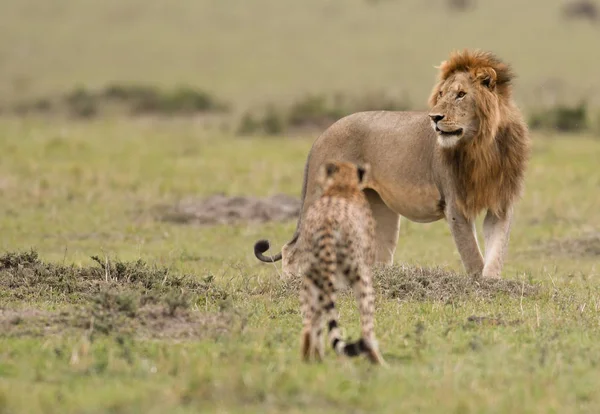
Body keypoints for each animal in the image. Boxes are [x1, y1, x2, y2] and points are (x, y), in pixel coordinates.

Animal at [253, 50, 528, 280]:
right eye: (441, 95)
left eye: (461, 95)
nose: (435, 117)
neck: (483, 146)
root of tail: (321, 135)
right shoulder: (455, 206)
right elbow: (473, 257)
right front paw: (478, 284)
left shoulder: (500, 204)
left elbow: (496, 251)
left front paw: (492, 283)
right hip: (327, 200)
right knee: (292, 249)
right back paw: (293, 283)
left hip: (379, 207)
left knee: (377, 257)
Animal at [296, 162, 384, 366]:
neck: (343, 185)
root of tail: (327, 221)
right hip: (361, 276)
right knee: (366, 329)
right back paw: (379, 362)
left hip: (313, 278)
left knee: (310, 324)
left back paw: (311, 362)